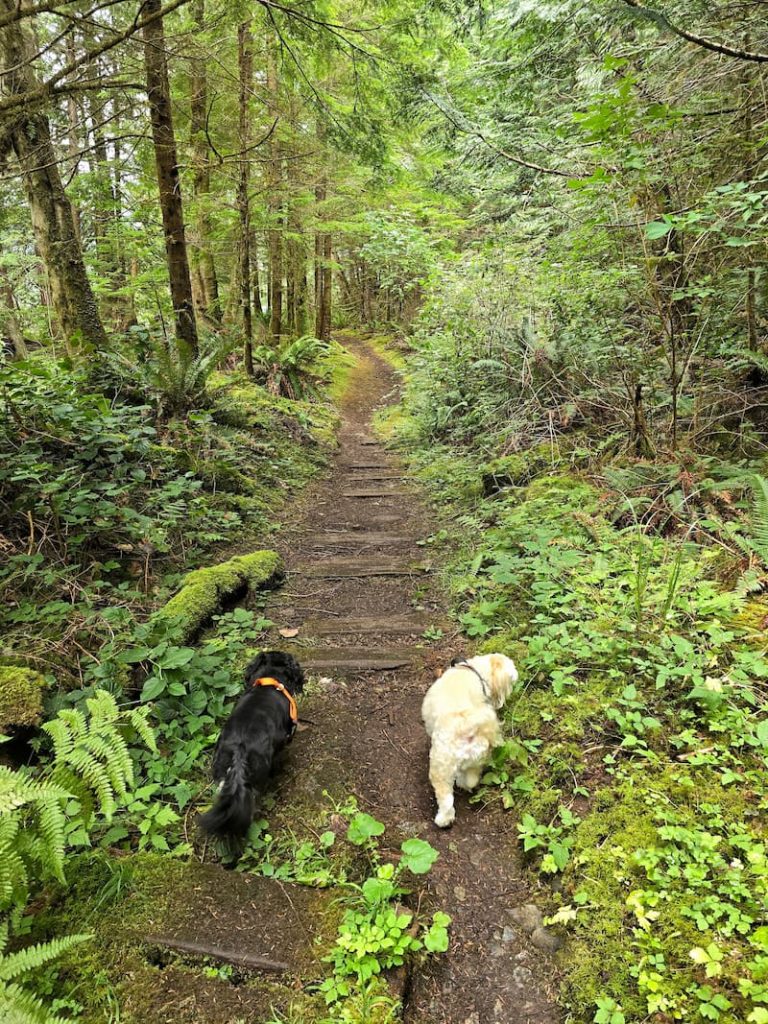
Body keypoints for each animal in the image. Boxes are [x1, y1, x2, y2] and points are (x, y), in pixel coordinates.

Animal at [423, 655, 520, 831]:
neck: (472, 670)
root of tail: (469, 726)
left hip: (441, 766)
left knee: (446, 798)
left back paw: (443, 819)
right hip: (477, 759)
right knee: (471, 779)